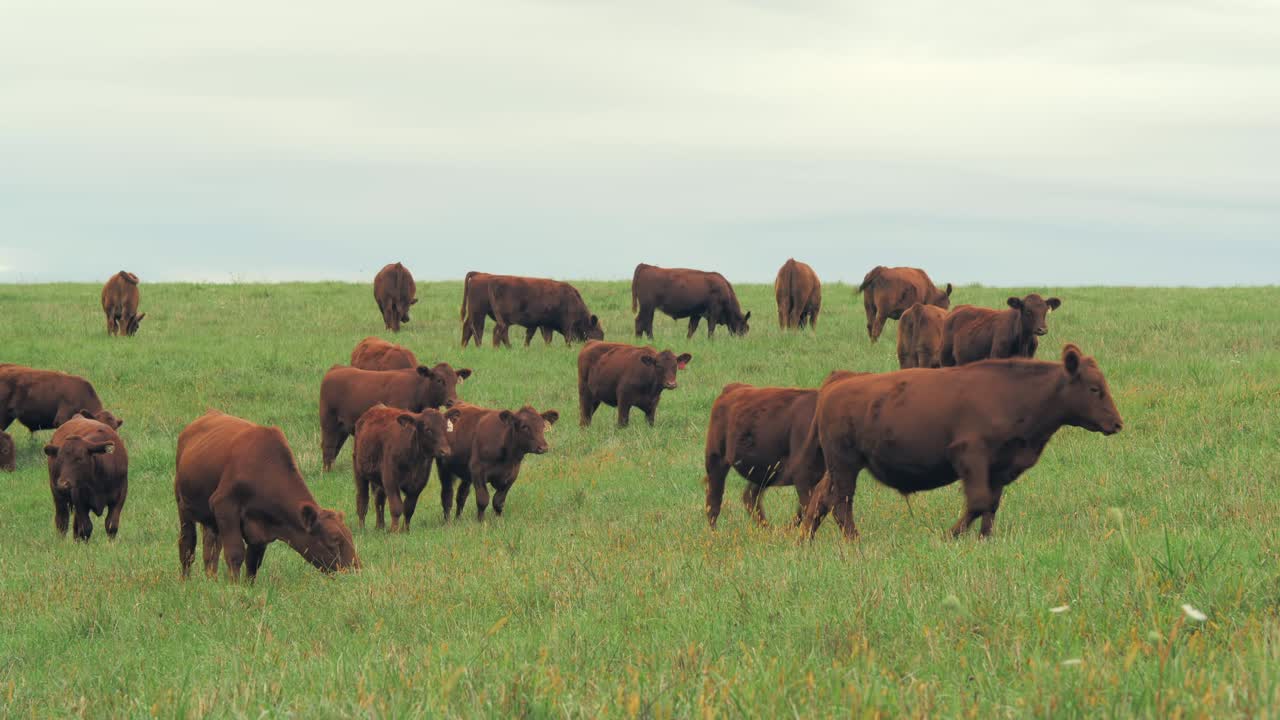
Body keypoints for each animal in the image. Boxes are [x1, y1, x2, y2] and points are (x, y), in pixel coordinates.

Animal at [175, 410, 359, 580]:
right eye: (334, 539)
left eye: (350, 536)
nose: (355, 572)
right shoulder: (224, 506)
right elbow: (235, 553)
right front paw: (234, 587)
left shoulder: (260, 529)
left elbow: (253, 562)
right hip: (183, 506)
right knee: (187, 545)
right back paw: (186, 581)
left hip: (211, 521)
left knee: (210, 549)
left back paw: (211, 580)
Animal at [319, 363, 471, 470]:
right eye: (439, 380)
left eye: (455, 381)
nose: (452, 401)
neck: (418, 391)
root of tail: (336, 368)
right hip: (328, 423)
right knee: (328, 448)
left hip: (342, 428)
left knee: (334, 450)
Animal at [352, 404, 460, 532]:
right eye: (427, 429)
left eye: (445, 428)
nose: (445, 451)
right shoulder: (391, 481)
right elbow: (396, 507)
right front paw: (395, 531)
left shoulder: (418, 485)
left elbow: (409, 508)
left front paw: (405, 530)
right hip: (359, 472)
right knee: (362, 500)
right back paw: (361, 528)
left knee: (379, 499)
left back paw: (380, 526)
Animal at [703, 371, 865, 529]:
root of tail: (731, 388)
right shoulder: (803, 476)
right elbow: (809, 507)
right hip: (716, 459)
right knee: (714, 500)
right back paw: (715, 531)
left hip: (767, 471)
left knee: (750, 496)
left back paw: (769, 529)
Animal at [800, 344, 1123, 541]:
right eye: (1094, 388)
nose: (1117, 423)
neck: (1016, 394)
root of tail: (839, 381)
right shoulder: (970, 457)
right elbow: (978, 502)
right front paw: (949, 536)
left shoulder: (1000, 468)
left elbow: (991, 505)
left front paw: (984, 539)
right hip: (845, 465)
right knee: (841, 503)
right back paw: (855, 542)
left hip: (840, 467)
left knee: (822, 499)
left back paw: (805, 541)